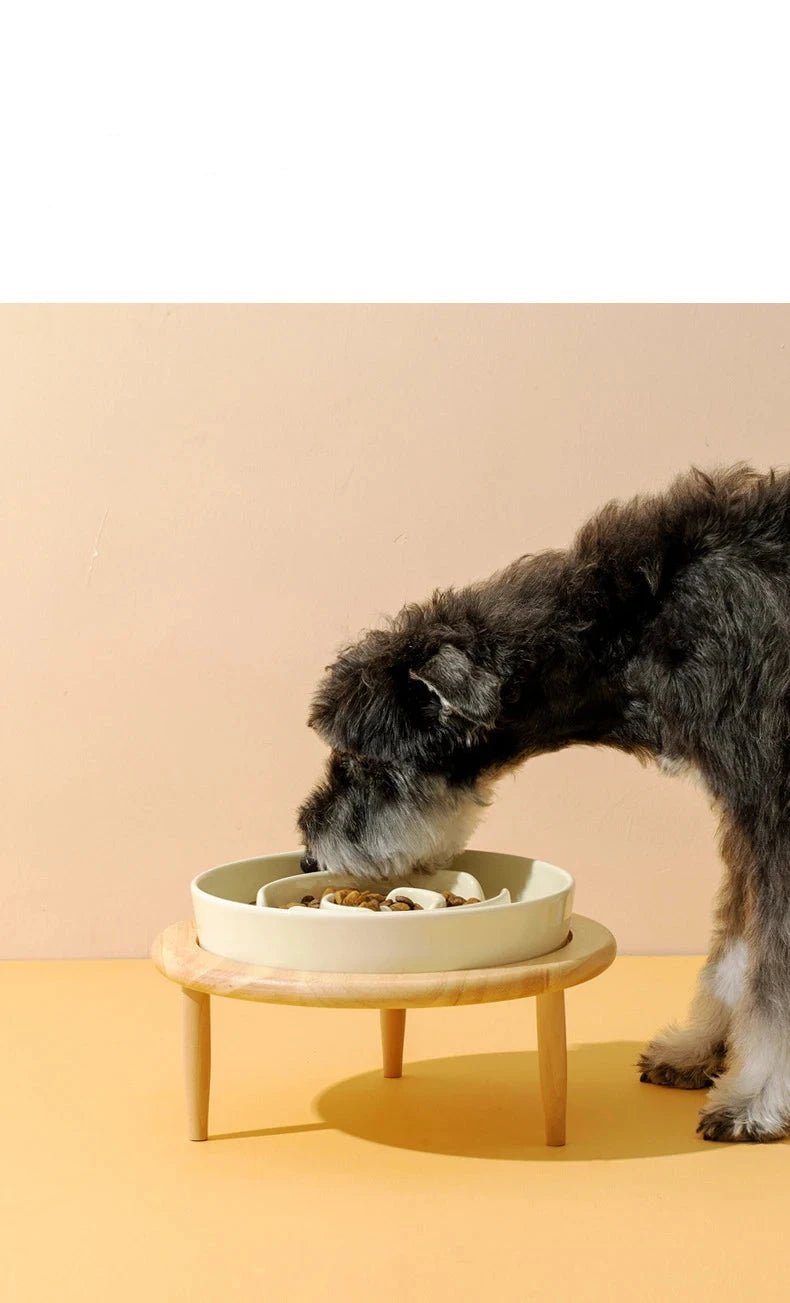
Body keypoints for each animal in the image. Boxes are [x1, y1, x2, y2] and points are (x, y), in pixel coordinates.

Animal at [297, 465, 790, 1143]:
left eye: (362, 758)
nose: (309, 856)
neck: (635, 628)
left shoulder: (774, 810)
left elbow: (774, 965)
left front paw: (755, 1101)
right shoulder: (744, 810)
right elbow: (739, 949)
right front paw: (697, 1049)